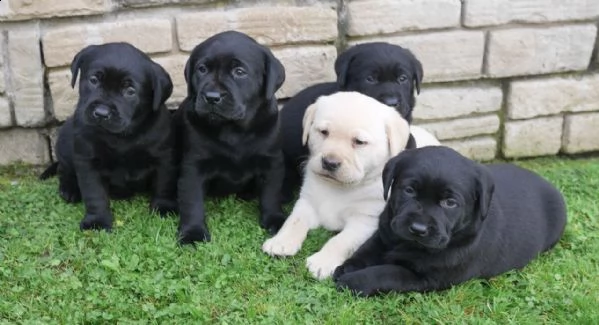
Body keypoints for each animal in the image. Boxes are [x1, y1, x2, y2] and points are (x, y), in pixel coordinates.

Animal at [38, 42, 176, 230]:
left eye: (130, 91)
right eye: (94, 80)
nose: (101, 113)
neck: (121, 137)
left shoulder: (164, 157)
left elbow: (164, 184)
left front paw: (163, 208)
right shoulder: (87, 161)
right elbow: (94, 194)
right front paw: (96, 221)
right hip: (64, 144)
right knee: (63, 169)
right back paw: (69, 189)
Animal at [175, 30, 288, 244]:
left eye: (239, 72)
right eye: (202, 69)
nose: (212, 97)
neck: (233, 129)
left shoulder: (272, 162)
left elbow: (272, 193)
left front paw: (276, 220)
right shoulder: (193, 166)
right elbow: (192, 201)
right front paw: (193, 233)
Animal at [262, 91, 412, 278]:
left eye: (359, 142)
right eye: (324, 132)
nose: (329, 162)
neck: (339, 187)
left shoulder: (365, 221)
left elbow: (340, 241)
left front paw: (322, 261)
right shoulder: (306, 202)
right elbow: (293, 221)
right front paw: (281, 242)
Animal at [336, 147, 568, 296]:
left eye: (450, 203)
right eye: (409, 190)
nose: (418, 229)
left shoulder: (425, 277)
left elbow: (386, 272)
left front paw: (352, 281)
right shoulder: (386, 231)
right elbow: (368, 248)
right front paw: (349, 267)